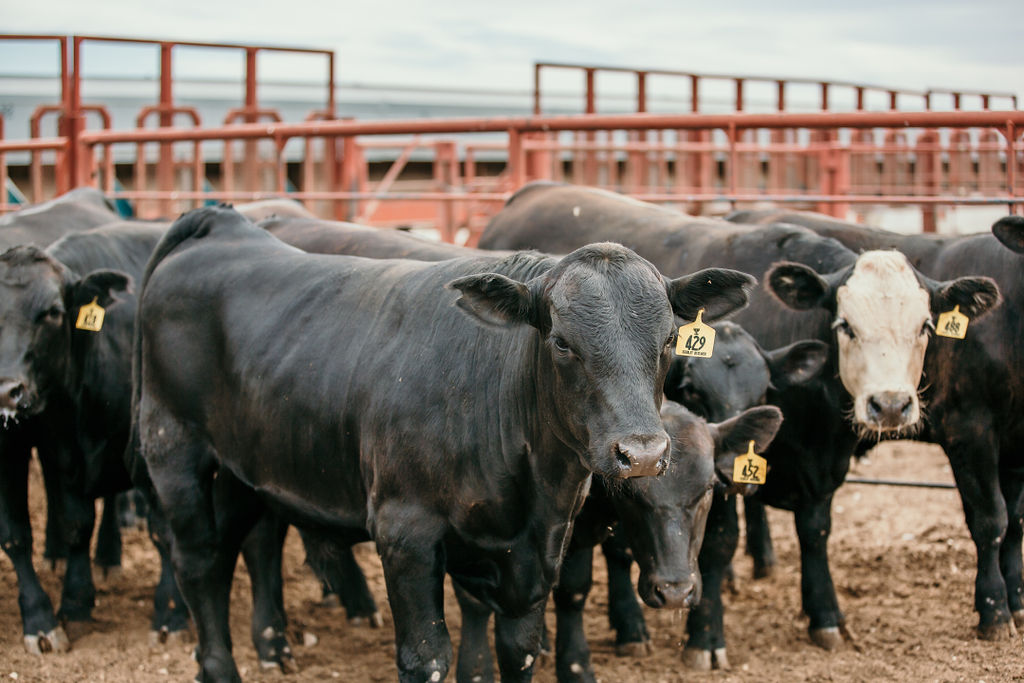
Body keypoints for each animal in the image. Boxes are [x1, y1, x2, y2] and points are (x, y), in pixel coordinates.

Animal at [128, 206, 757, 683]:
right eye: (561, 341)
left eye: (670, 339)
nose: (642, 453)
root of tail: (223, 223)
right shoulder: (404, 532)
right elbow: (427, 657)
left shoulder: (536, 550)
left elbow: (516, 649)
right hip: (173, 450)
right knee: (198, 561)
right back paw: (220, 668)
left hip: (246, 467)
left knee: (247, 544)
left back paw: (270, 648)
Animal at [479, 181, 999, 663]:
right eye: (845, 325)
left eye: (924, 328)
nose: (889, 405)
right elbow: (707, 542)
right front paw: (704, 638)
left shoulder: (814, 470)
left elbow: (813, 533)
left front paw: (825, 616)